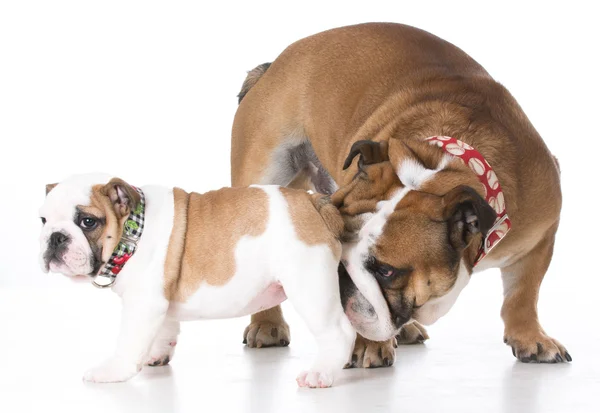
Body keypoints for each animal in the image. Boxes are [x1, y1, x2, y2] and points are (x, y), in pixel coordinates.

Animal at [37, 173, 354, 386]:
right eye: (42, 220)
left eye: (88, 222)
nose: (55, 237)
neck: (133, 231)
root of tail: (313, 200)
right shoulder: (159, 303)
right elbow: (164, 330)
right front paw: (156, 355)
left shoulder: (142, 303)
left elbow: (129, 341)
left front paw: (113, 371)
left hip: (309, 287)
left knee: (339, 332)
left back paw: (320, 373)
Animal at [232, 21, 568, 364]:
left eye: (386, 271)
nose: (334, 276)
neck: (442, 163)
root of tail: (274, 64)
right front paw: (369, 345)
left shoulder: (540, 234)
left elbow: (523, 294)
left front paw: (530, 337)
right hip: (263, 173)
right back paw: (267, 325)